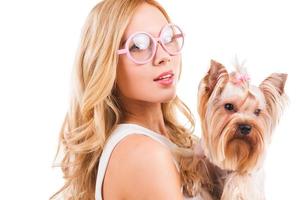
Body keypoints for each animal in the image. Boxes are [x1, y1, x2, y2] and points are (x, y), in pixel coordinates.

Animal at [191, 59, 288, 200]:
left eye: (257, 112)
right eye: (229, 106)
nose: (246, 127)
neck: (235, 152)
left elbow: (239, 180)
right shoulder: (200, 156)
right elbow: (197, 164)